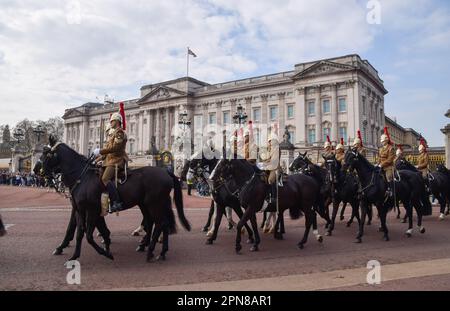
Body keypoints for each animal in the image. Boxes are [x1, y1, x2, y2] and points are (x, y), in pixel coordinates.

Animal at [41, 143, 191, 262]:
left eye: (47, 155)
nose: (40, 172)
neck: (82, 177)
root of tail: (165, 172)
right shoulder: (80, 209)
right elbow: (80, 232)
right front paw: (74, 255)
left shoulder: (92, 210)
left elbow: (88, 235)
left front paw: (106, 252)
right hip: (149, 204)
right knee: (159, 223)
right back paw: (159, 251)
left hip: (154, 204)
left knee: (159, 223)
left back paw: (150, 251)